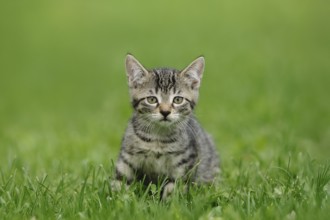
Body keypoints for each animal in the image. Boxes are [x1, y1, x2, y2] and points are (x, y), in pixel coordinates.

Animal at [112, 54, 220, 199]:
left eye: (178, 100)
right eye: (152, 99)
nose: (165, 112)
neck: (158, 138)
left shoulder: (184, 163)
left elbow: (173, 188)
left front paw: (168, 203)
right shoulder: (127, 157)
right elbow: (120, 180)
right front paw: (117, 199)